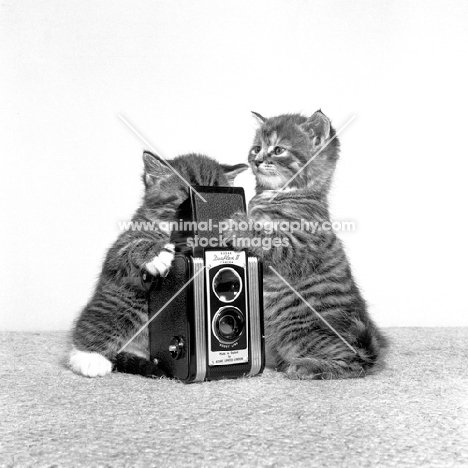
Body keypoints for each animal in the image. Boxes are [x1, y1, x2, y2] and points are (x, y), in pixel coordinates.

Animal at [69, 152, 249, 378]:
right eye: (186, 198)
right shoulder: (119, 250)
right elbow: (126, 250)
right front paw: (155, 254)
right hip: (120, 301)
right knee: (98, 322)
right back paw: (88, 358)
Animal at [223, 110, 388, 380]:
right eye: (256, 148)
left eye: (278, 149)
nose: (257, 160)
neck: (280, 194)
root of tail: (369, 348)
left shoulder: (299, 248)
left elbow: (269, 241)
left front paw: (240, 226)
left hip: (299, 333)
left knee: (354, 364)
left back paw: (306, 366)